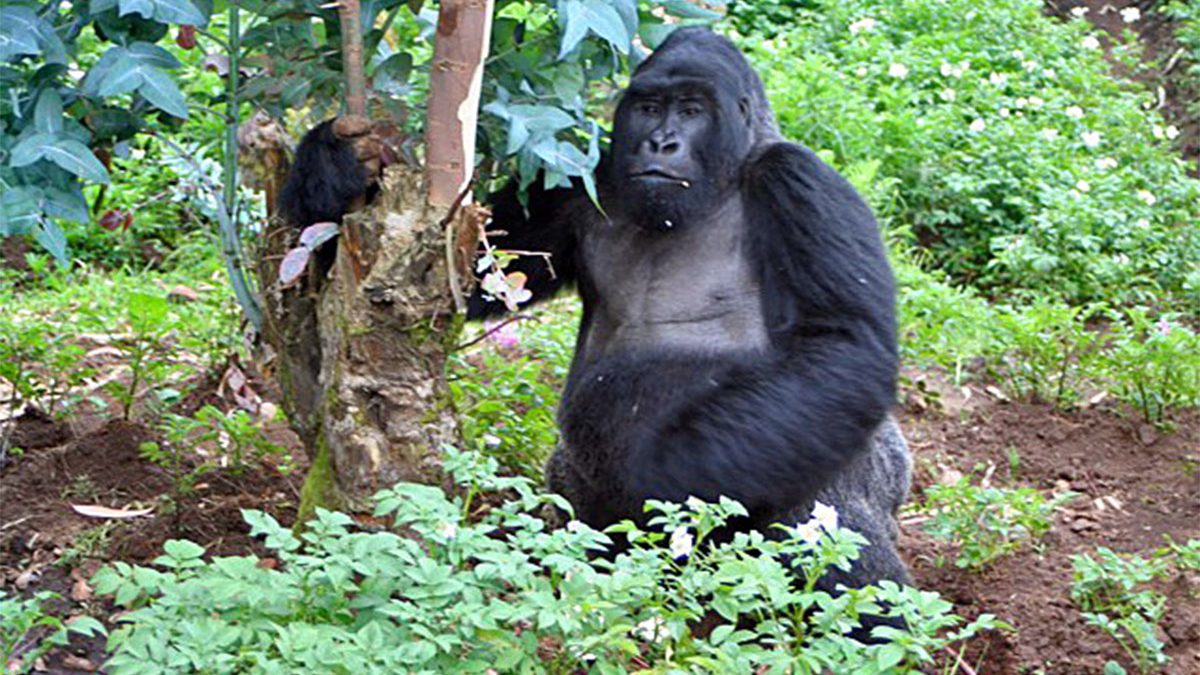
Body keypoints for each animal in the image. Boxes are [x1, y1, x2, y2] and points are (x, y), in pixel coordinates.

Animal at [285, 27, 912, 598]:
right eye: (650, 108)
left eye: (691, 110)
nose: (661, 142)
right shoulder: (577, 177)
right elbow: (474, 272)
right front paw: (334, 168)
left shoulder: (801, 182)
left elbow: (842, 344)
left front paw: (674, 472)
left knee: (821, 499)